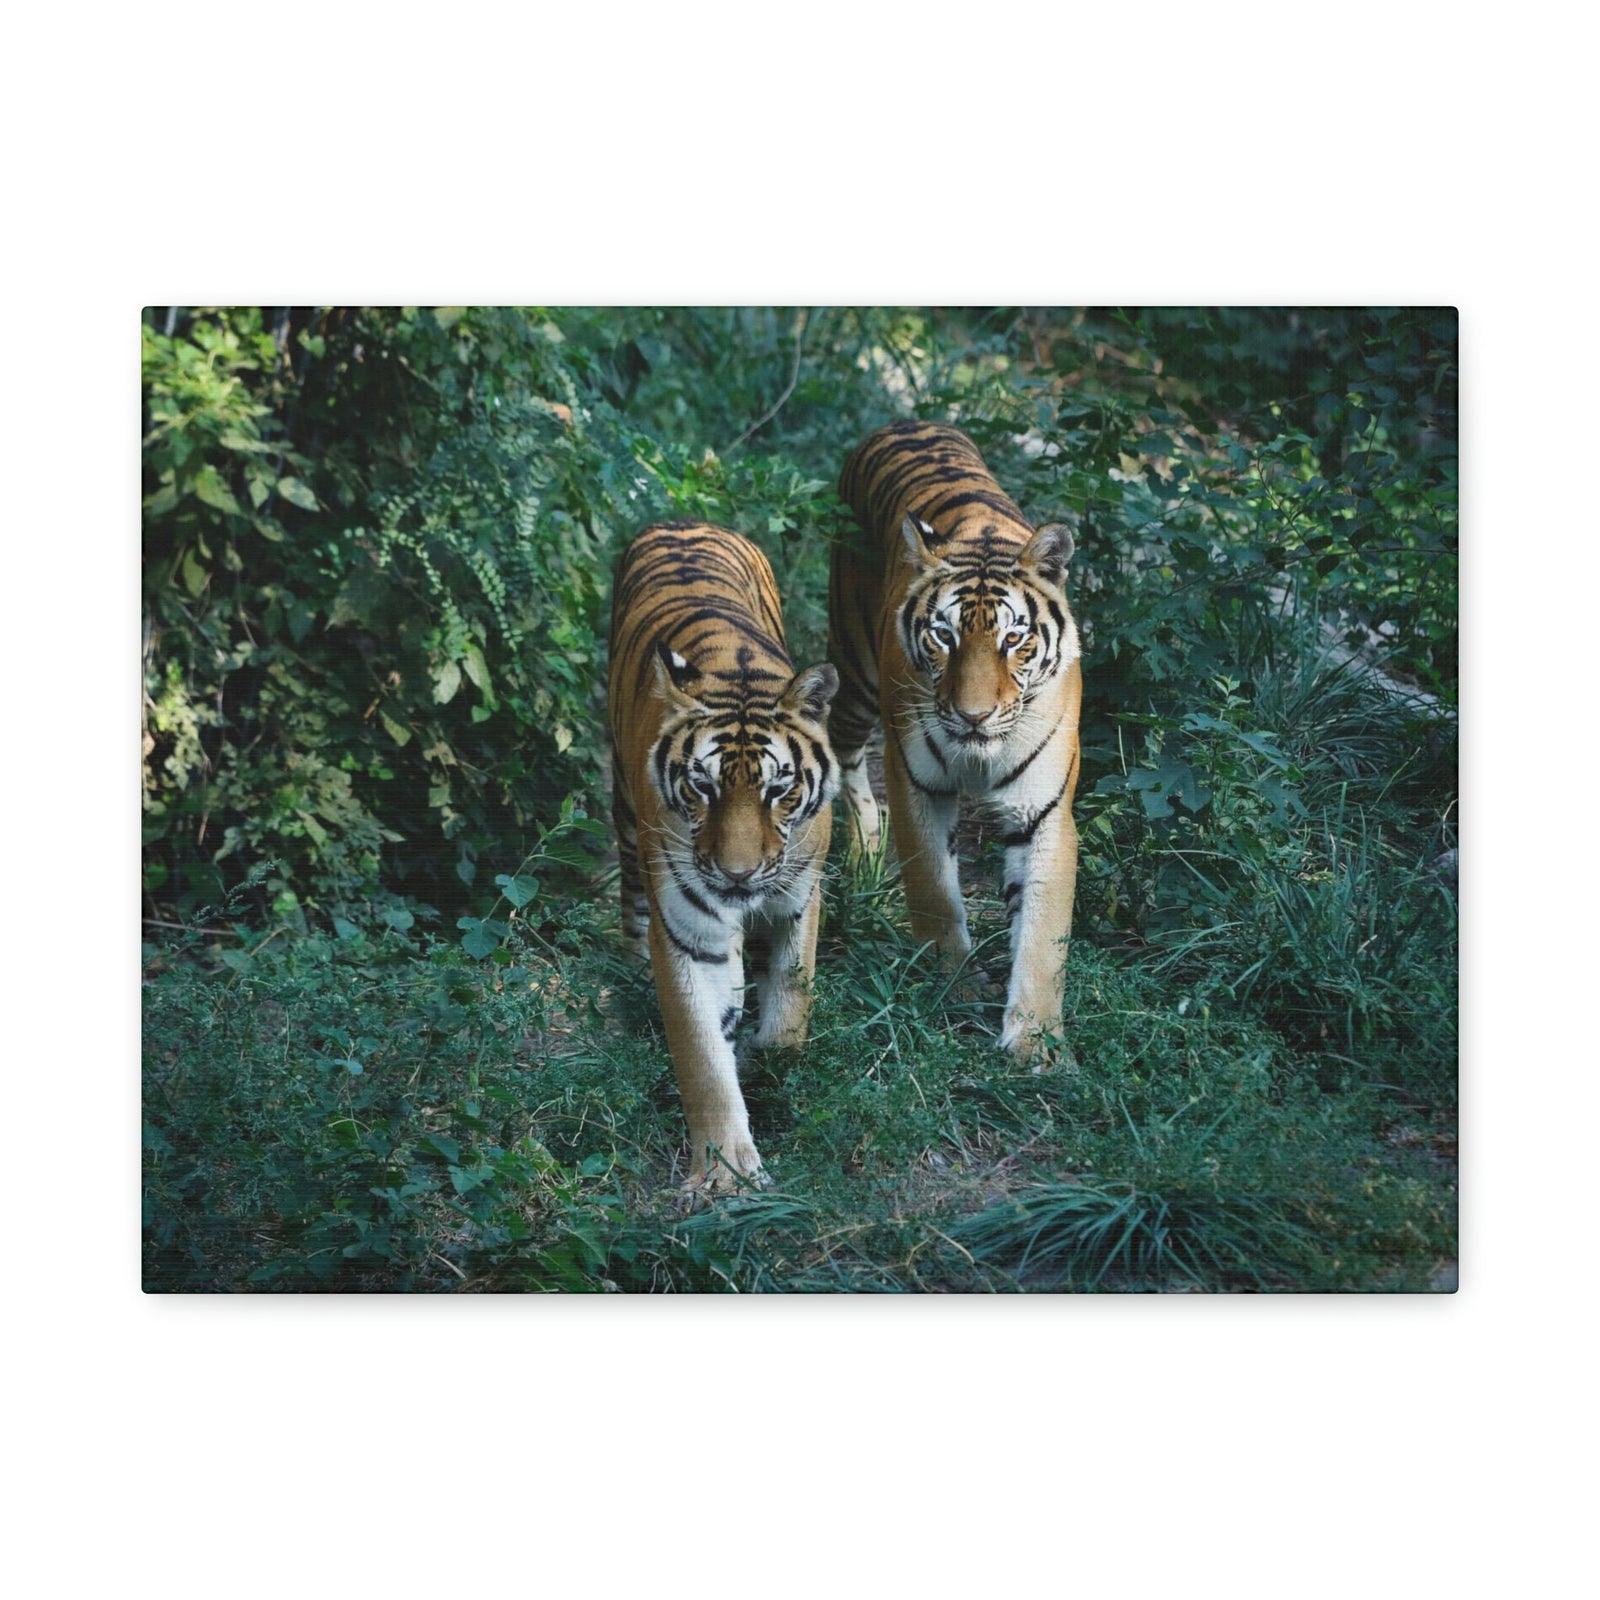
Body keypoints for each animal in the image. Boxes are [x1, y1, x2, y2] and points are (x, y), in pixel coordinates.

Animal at [608, 521, 839, 1192]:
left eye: (778, 789)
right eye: (702, 787)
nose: (737, 875)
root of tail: (685, 522)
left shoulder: (801, 895)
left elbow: (791, 1008)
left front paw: (771, 1067)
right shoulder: (688, 931)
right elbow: (702, 1056)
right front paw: (724, 1173)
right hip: (625, 811)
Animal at [828, 419, 1083, 1061]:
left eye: (1014, 638)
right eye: (944, 636)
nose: (973, 715)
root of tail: (905, 421)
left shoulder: (1044, 811)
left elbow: (1043, 933)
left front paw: (1035, 1040)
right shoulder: (915, 782)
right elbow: (935, 891)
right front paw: (955, 985)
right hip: (855, 674)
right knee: (847, 764)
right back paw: (863, 856)